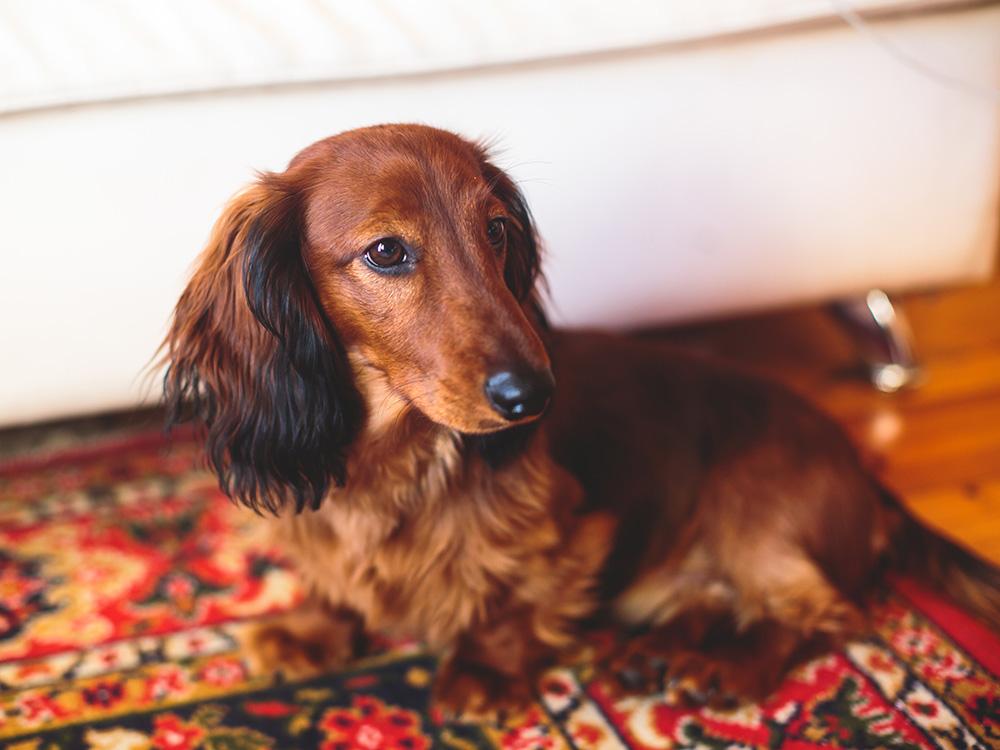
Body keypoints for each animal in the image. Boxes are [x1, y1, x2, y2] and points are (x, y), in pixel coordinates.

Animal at [162, 126, 992, 720]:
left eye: (497, 231)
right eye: (387, 251)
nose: (534, 395)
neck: (395, 457)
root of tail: (865, 476)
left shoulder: (567, 531)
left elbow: (510, 595)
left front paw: (484, 668)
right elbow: (332, 577)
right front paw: (314, 628)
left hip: (755, 506)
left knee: (818, 614)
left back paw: (727, 665)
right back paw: (655, 651)